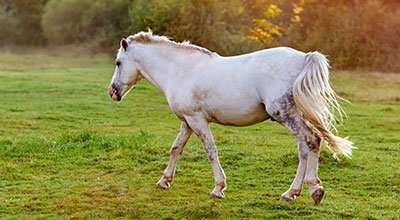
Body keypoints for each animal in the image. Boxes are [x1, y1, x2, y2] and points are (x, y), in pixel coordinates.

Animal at [108, 30, 354, 204]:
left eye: (118, 63)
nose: (112, 92)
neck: (180, 70)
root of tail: (304, 58)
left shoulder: (197, 120)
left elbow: (211, 151)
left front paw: (218, 188)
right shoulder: (187, 121)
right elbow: (176, 149)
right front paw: (164, 181)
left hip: (285, 115)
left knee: (312, 141)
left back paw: (314, 189)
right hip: (291, 117)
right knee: (305, 148)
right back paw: (291, 193)